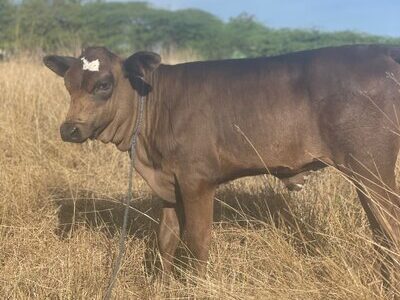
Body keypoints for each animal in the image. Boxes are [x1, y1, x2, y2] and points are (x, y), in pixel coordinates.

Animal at [42, 44, 398, 286]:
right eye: (68, 84)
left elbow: (198, 239)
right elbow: (166, 238)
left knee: (390, 225)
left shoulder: (196, 180)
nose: (69, 129)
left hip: (372, 168)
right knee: (380, 229)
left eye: (104, 84)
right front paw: (162, 285)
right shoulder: (168, 184)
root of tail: (379, 52)